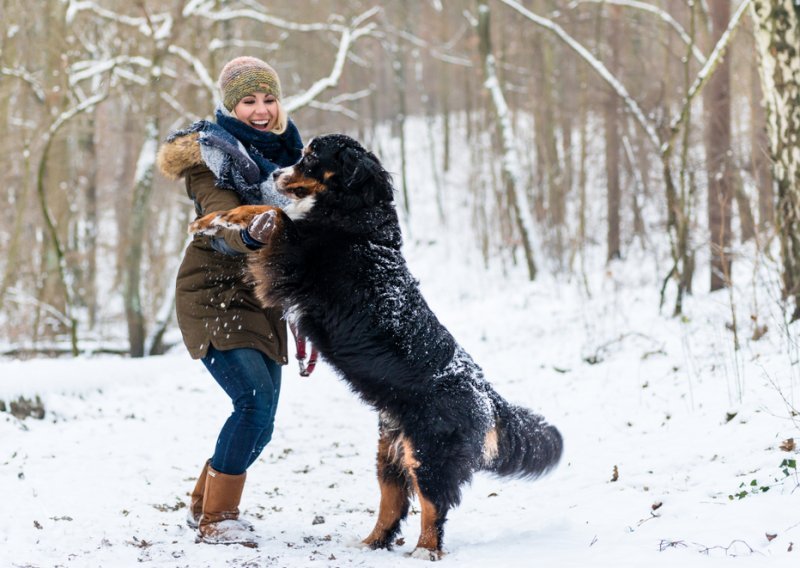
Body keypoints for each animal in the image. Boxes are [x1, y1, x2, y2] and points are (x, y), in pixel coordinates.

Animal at [189, 134, 564, 560]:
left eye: (311, 157)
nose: (274, 173)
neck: (354, 217)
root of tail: (485, 392)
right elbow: (264, 209)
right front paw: (210, 221)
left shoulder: (294, 255)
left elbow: (271, 211)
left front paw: (218, 218)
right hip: (390, 454)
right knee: (393, 504)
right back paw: (370, 543)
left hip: (429, 454)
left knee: (434, 505)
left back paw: (425, 551)